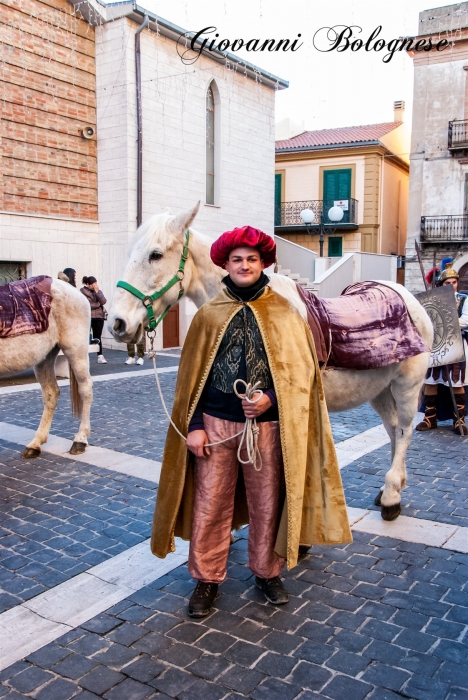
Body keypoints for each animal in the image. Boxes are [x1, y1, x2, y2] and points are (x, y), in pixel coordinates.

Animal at [0, 278, 93, 460]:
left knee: (86, 389)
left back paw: (79, 440)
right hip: (45, 357)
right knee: (51, 393)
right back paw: (35, 444)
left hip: (76, 351)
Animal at [109, 202, 432, 520]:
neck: (247, 301)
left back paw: (391, 496)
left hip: (407, 387)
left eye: (155, 254)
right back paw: (391, 487)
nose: (117, 323)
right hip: (380, 391)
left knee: (404, 431)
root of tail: (409, 299)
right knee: (392, 429)